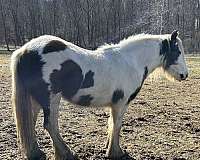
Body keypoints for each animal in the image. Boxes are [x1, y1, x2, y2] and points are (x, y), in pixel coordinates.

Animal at [11, 30, 188, 159]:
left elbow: (111, 124)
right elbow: (117, 125)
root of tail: (25, 50)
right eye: (178, 51)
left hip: (36, 99)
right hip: (51, 98)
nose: (185, 75)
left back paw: (37, 153)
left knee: (31, 123)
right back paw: (67, 153)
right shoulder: (121, 103)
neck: (131, 62)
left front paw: (109, 147)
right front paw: (116, 152)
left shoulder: (115, 104)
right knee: (50, 125)